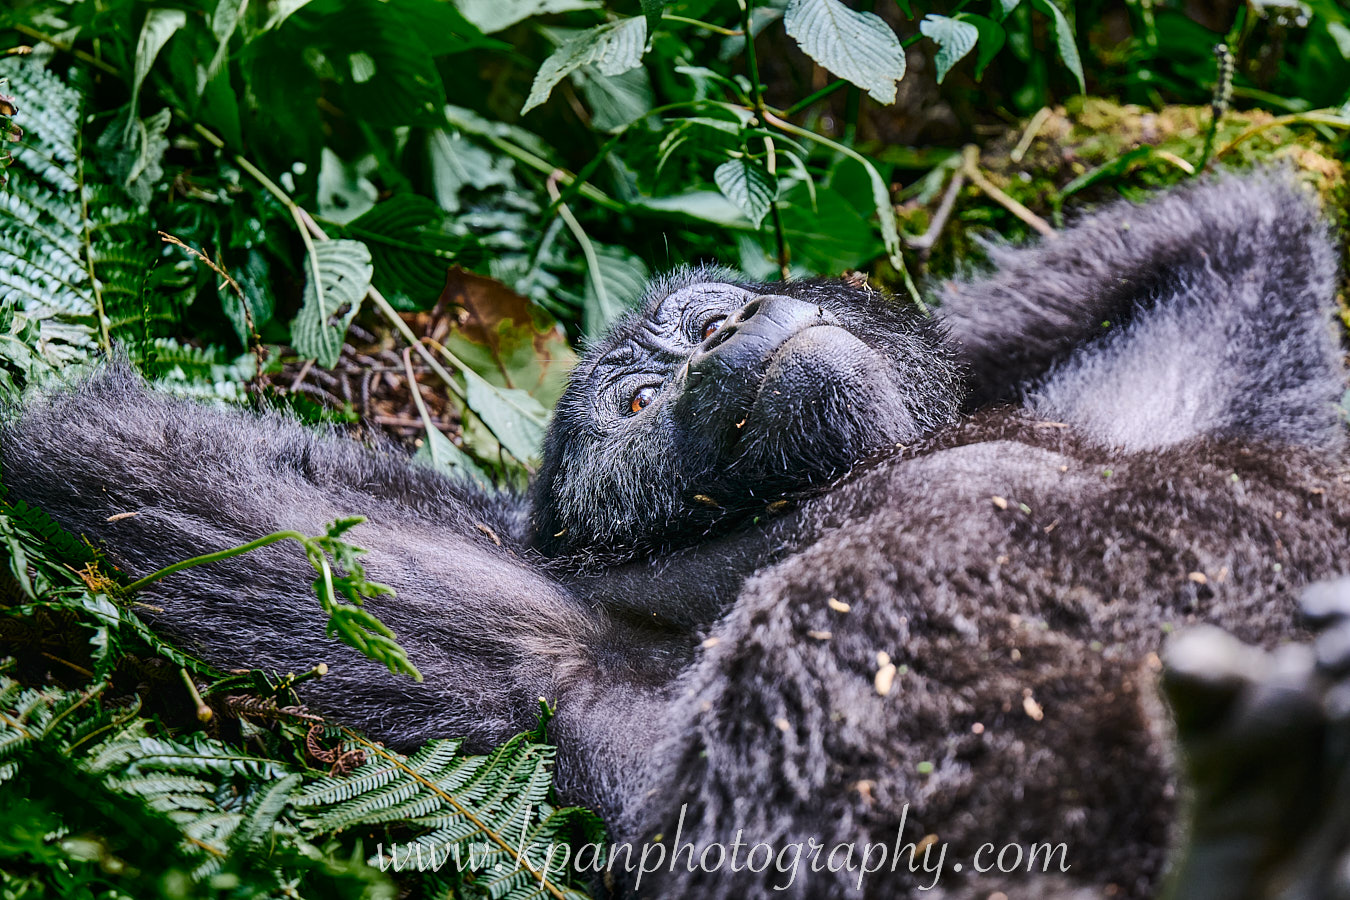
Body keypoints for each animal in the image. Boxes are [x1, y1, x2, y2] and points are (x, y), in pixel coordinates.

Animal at [2, 171, 1347, 898]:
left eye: (703, 318)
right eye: (644, 405)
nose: (723, 337)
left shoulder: (1133, 409)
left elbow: (1245, 238)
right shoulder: (562, 636)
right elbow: (109, 466)